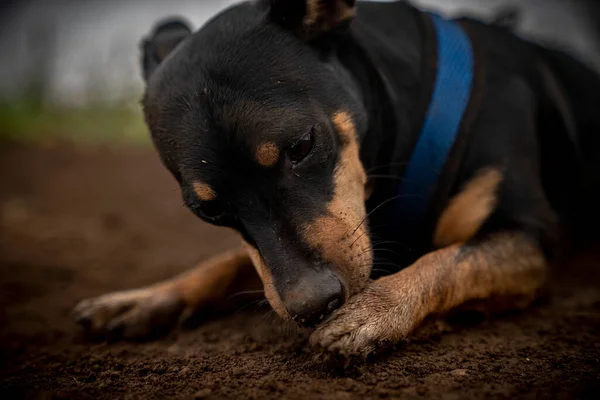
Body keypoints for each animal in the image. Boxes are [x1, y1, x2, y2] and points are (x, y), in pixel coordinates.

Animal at [74, 0, 600, 356]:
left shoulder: (529, 238)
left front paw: (376, 311)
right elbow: (229, 262)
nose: (312, 306)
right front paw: (142, 299)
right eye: (208, 210)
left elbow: (449, 261)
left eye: (302, 146)